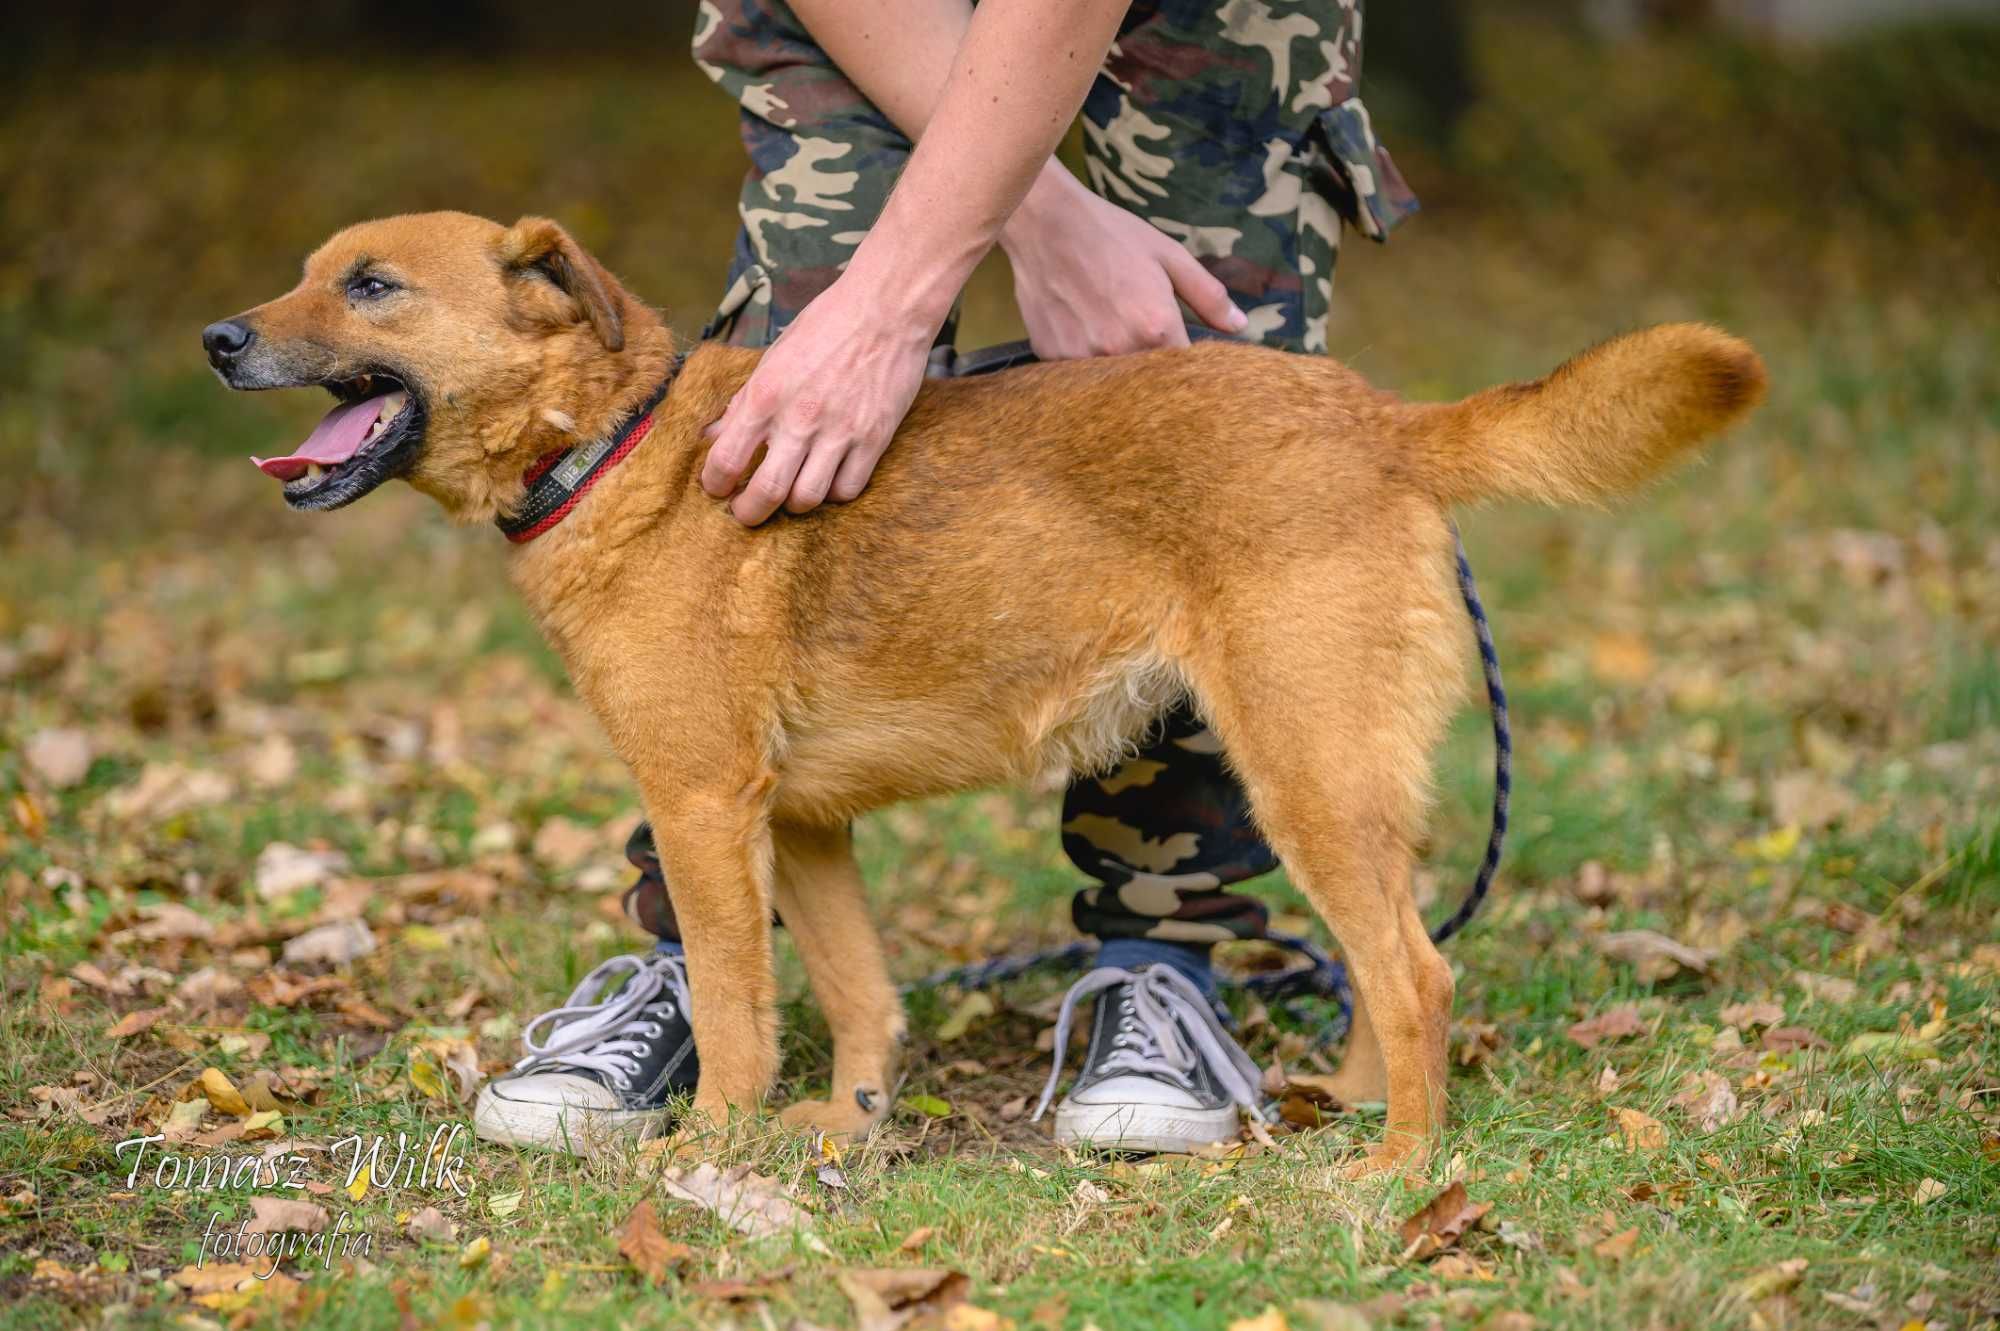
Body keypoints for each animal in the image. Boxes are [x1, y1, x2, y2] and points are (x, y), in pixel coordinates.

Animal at [207, 209, 1768, 1175]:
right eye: (306, 271)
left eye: (371, 285)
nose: (218, 339)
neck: (615, 442)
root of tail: (1382, 419)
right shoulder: (802, 823)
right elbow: (858, 992)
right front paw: (843, 1130)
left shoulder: (704, 806)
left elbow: (734, 1004)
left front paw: (711, 1147)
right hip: (1332, 782)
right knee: (1385, 969)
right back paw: (1352, 1111)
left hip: (1301, 772)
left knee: (1415, 970)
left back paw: (1395, 1166)